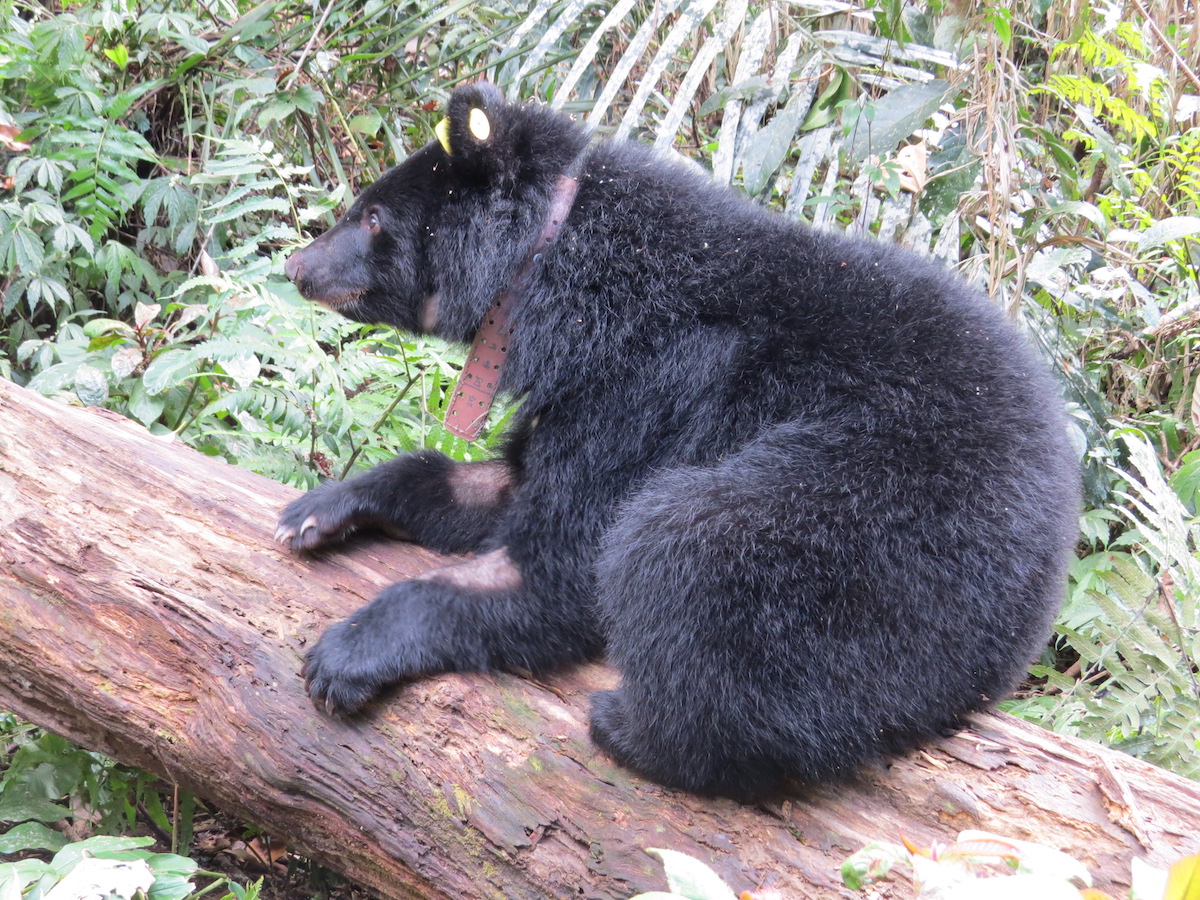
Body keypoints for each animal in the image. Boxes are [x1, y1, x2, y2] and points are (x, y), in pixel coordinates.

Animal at [278, 82, 1078, 801]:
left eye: (372, 215)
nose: (298, 266)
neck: (553, 271)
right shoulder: (576, 394)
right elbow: (493, 485)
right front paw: (316, 511)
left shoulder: (644, 383)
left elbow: (556, 569)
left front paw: (345, 653)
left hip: (879, 519)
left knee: (688, 549)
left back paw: (635, 731)